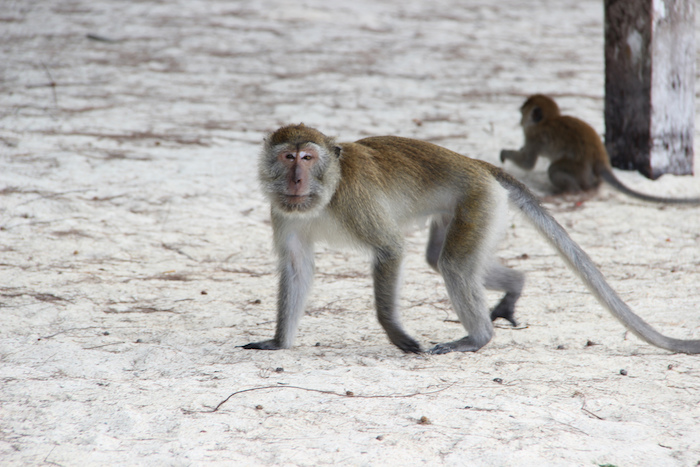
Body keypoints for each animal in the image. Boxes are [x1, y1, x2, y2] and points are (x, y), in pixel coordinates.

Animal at [242, 124, 700, 354]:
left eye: (307, 157)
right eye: (287, 157)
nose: (296, 179)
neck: (324, 194)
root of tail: (476, 164)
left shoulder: (355, 201)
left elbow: (390, 249)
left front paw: (395, 333)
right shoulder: (283, 214)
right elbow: (297, 266)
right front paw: (279, 342)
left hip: (478, 199)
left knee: (452, 264)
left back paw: (477, 339)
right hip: (464, 208)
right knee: (443, 259)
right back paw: (515, 285)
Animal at [500, 94, 700, 204]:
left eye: (523, 112)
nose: (520, 120)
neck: (549, 119)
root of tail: (600, 158)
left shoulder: (534, 137)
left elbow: (528, 163)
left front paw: (504, 154)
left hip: (580, 171)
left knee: (554, 169)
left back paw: (571, 191)